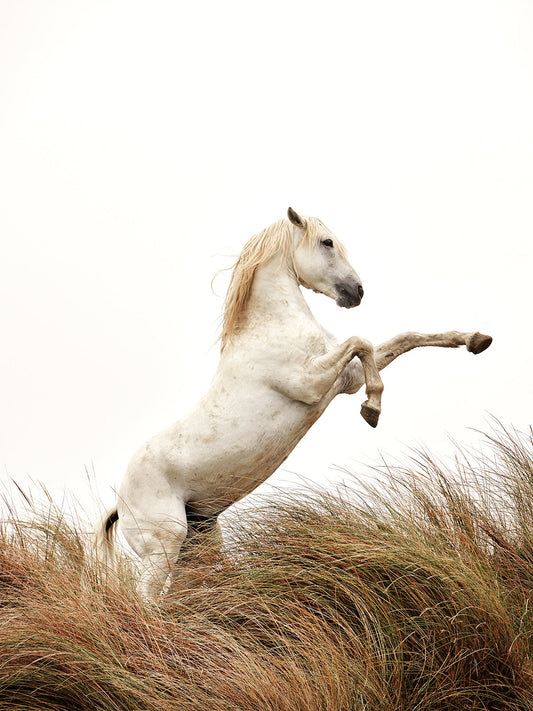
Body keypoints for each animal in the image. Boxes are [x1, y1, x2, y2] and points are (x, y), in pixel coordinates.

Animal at [93, 207, 492, 598]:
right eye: (327, 242)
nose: (357, 292)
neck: (272, 325)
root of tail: (120, 503)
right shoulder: (312, 383)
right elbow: (360, 341)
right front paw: (372, 409)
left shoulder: (346, 378)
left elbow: (402, 339)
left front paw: (474, 340)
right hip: (164, 547)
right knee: (147, 602)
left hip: (199, 545)